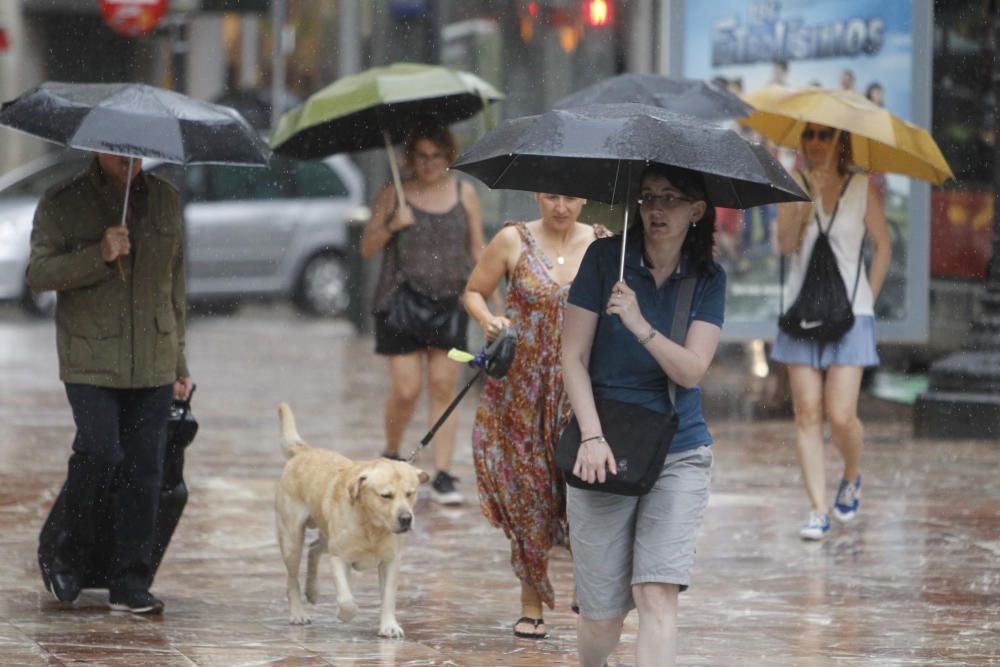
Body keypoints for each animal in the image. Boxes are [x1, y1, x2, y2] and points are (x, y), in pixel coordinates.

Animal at [276, 402, 428, 636]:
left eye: (410, 493)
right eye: (386, 495)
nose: (406, 519)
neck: (371, 527)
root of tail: (304, 451)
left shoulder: (391, 561)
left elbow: (389, 597)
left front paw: (389, 626)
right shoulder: (339, 558)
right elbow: (347, 600)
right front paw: (344, 614)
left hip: (326, 534)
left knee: (314, 548)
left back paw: (313, 591)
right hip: (292, 539)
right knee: (292, 579)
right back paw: (298, 613)